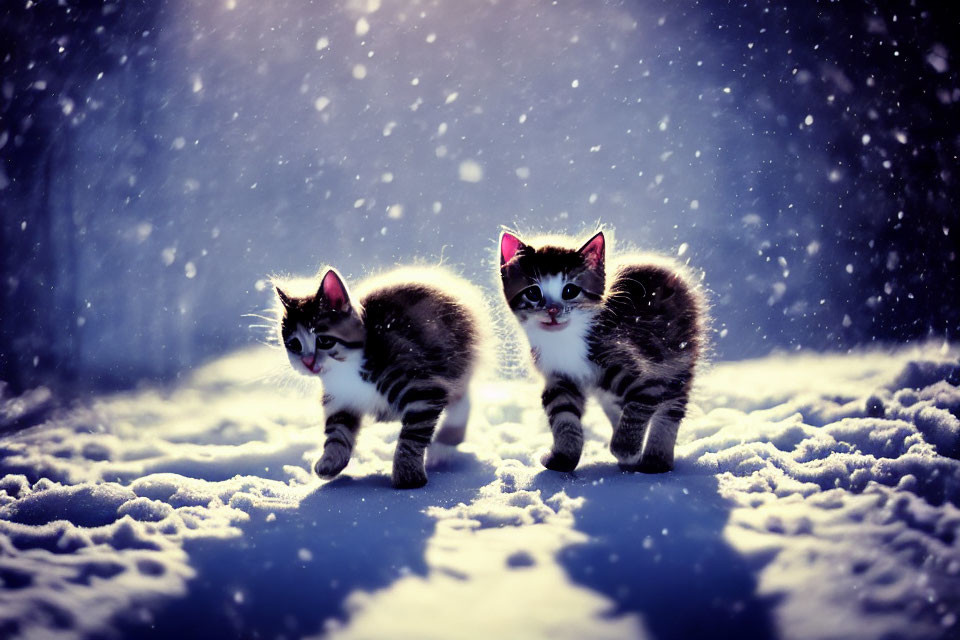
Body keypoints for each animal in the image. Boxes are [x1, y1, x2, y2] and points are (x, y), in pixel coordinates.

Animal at [278, 268, 488, 488]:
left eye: (324, 341)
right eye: (294, 345)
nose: (308, 362)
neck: (347, 371)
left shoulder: (422, 387)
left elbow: (412, 436)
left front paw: (407, 474)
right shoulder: (339, 400)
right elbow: (337, 432)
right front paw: (331, 461)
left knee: (460, 401)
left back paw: (444, 445)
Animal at [498, 230, 708, 470]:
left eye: (570, 291)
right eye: (533, 293)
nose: (553, 310)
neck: (565, 340)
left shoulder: (642, 372)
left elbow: (638, 407)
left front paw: (626, 448)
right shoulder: (559, 378)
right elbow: (563, 414)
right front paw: (563, 458)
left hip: (677, 358)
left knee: (671, 407)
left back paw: (656, 461)